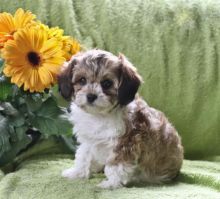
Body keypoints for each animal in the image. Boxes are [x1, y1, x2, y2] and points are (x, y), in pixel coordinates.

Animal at [57, 49, 183, 189]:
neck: (99, 116)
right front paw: (77, 173)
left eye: (107, 83)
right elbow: (83, 156)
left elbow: (116, 166)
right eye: (82, 80)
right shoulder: (89, 141)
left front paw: (111, 183)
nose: (91, 96)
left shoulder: (125, 144)